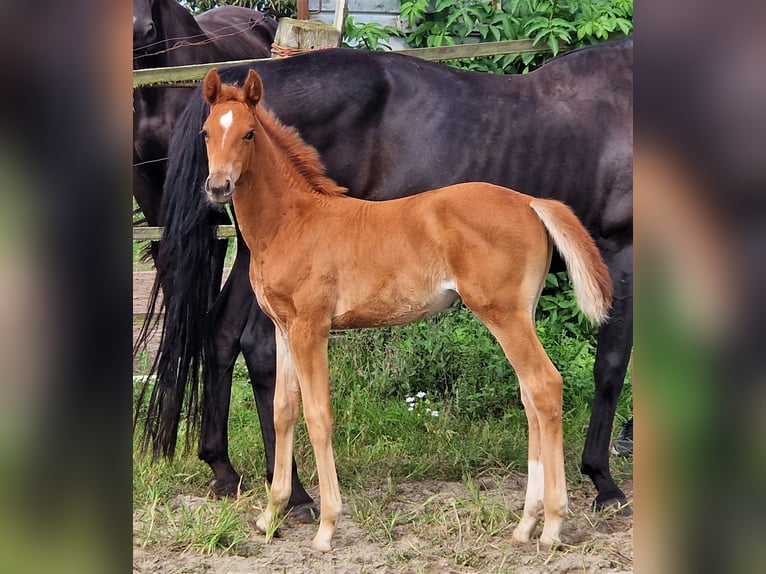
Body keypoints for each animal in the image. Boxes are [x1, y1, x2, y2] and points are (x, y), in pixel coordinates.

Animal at [140, 42, 636, 516]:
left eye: (247, 134)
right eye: (208, 135)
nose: (217, 185)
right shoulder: (622, 250)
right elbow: (613, 366)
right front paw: (605, 482)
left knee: (222, 333)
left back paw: (227, 470)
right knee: (253, 347)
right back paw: (294, 494)